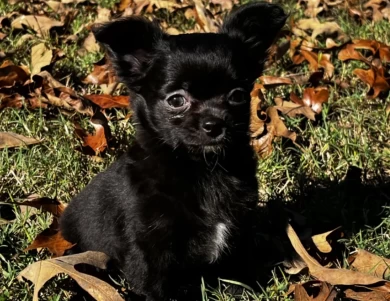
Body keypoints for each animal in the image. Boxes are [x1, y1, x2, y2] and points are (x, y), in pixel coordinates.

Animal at [61, 2, 286, 300]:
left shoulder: (238, 229)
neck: (202, 168)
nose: (215, 124)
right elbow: (153, 283)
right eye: (176, 100)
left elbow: (235, 271)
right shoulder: (149, 243)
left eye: (238, 95)